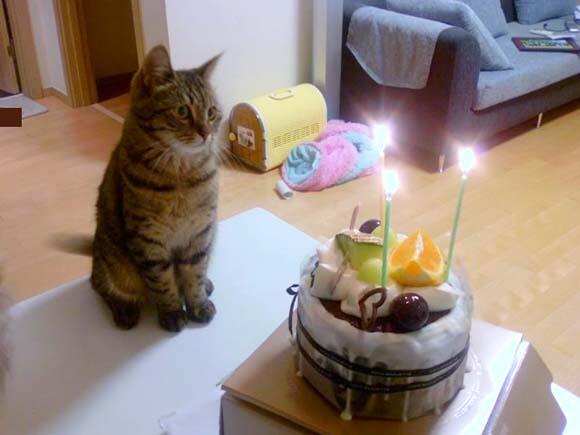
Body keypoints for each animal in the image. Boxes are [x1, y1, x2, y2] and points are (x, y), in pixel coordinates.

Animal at [91, 45, 222, 333]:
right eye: (182, 111)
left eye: (211, 112)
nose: (206, 133)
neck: (182, 174)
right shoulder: (148, 239)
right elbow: (162, 283)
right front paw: (172, 312)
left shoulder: (201, 232)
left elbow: (194, 274)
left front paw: (198, 303)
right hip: (112, 263)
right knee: (99, 285)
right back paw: (125, 309)